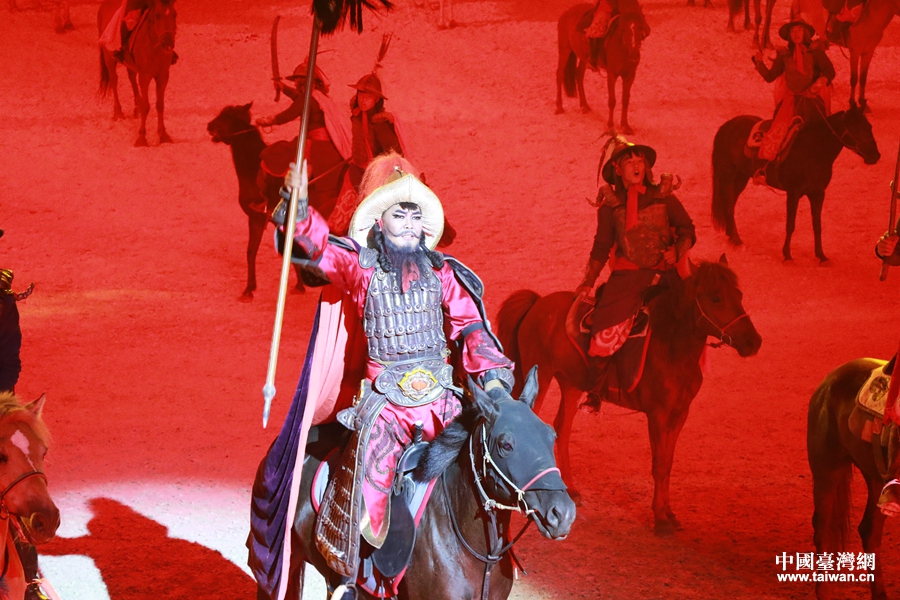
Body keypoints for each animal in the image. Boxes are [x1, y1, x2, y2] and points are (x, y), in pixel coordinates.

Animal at [98, 0, 177, 146]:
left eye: (175, 15)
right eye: (157, 15)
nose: (168, 43)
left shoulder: (163, 76)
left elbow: (160, 105)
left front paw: (163, 135)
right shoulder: (145, 76)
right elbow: (147, 106)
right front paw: (142, 138)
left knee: (132, 78)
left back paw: (137, 108)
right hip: (108, 58)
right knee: (114, 81)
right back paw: (118, 112)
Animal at [497, 257, 762, 534]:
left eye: (739, 295)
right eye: (715, 297)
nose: (753, 341)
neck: (671, 345)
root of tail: (538, 303)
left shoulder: (680, 413)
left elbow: (667, 463)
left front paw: (668, 513)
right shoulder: (658, 415)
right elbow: (658, 465)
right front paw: (660, 519)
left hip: (571, 384)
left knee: (563, 428)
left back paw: (571, 490)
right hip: (542, 375)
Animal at [556, 5, 647, 135]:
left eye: (640, 28)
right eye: (623, 29)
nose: (634, 55)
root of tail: (566, 12)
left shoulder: (630, 76)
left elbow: (625, 100)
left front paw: (625, 126)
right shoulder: (612, 74)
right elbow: (612, 100)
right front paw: (610, 126)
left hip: (583, 57)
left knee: (579, 75)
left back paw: (584, 106)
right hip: (564, 49)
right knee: (559, 74)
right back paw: (559, 107)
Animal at [711, 107, 880, 263]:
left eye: (869, 126)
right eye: (857, 128)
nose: (875, 156)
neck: (812, 152)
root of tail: (727, 126)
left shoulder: (818, 193)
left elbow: (817, 225)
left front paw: (821, 256)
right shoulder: (793, 193)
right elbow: (790, 224)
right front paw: (787, 255)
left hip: (740, 178)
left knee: (729, 206)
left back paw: (732, 236)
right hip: (729, 176)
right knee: (729, 206)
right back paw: (737, 241)